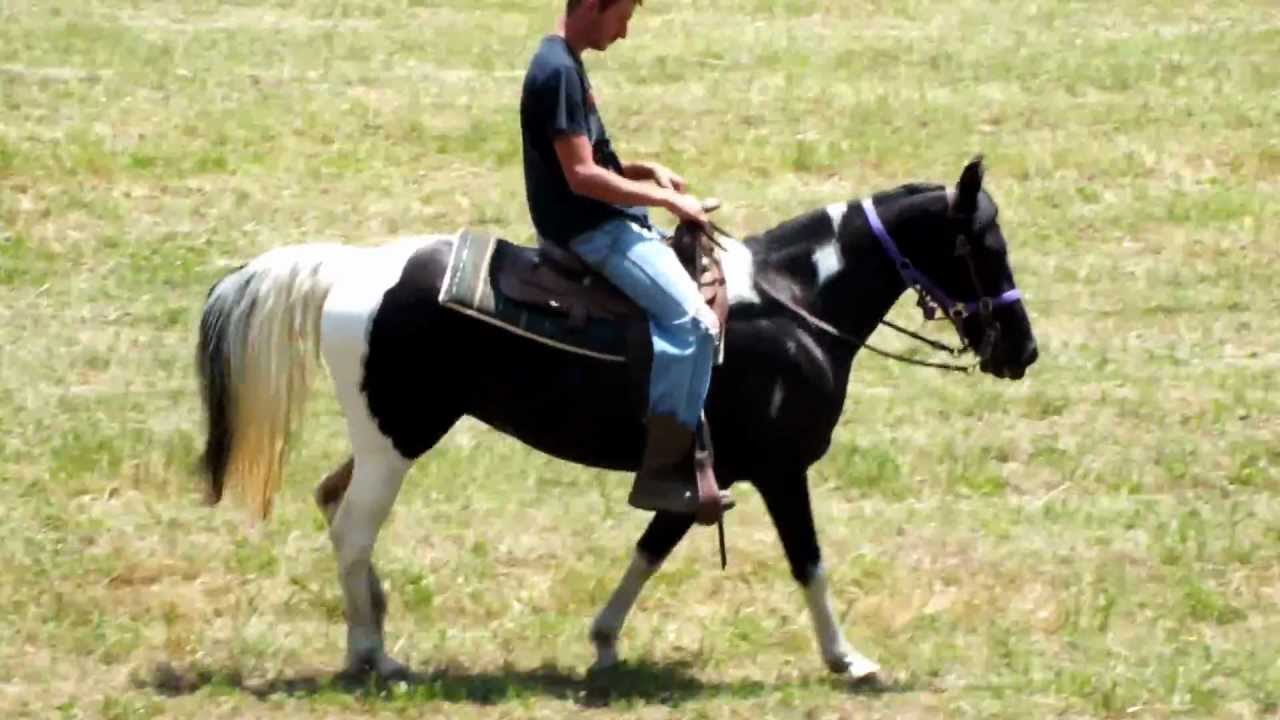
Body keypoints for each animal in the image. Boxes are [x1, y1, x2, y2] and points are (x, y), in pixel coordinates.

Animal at [195, 157, 1038, 684]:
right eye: (983, 244)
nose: (1022, 349)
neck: (795, 302)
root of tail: (354, 269)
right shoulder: (778, 470)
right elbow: (809, 561)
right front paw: (849, 659)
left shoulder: (702, 474)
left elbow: (652, 546)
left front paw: (603, 641)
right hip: (397, 441)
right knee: (351, 530)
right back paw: (375, 655)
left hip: (385, 439)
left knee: (334, 504)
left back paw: (369, 637)